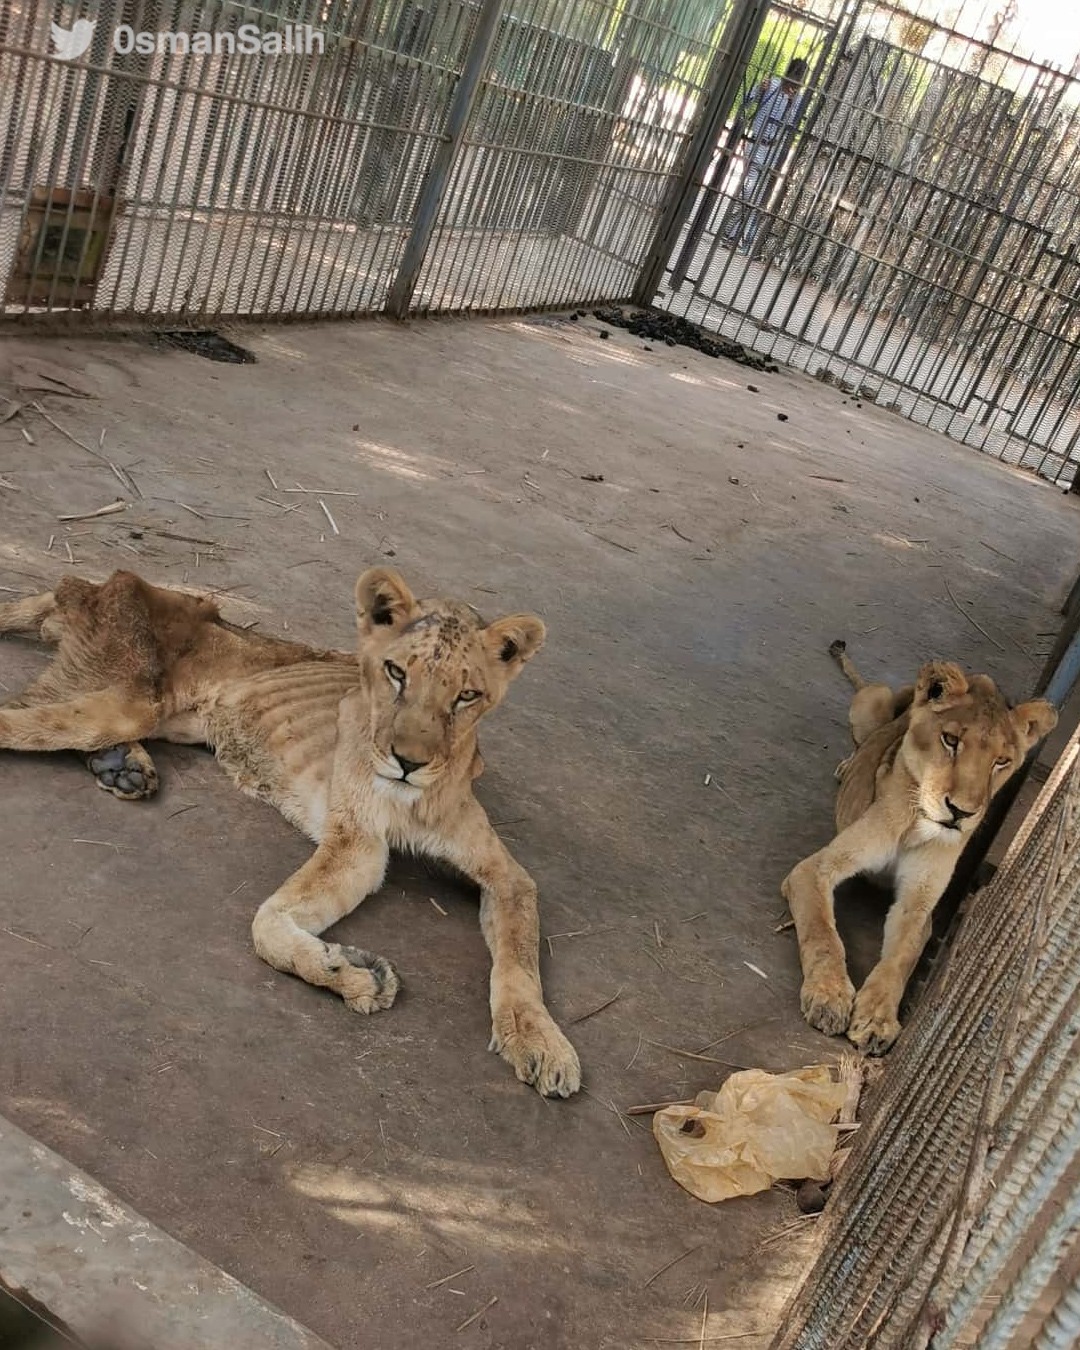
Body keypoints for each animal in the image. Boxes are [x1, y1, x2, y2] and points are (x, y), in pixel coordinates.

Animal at [0, 561, 583, 1096]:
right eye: (396, 673)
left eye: (466, 696)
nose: (408, 763)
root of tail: (97, 583)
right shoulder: (357, 844)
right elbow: (268, 923)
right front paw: (353, 974)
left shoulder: (506, 877)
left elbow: (519, 960)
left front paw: (540, 1042)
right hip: (127, 701)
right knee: (14, 715)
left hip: (152, 714)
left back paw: (122, 766)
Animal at [783, 637, 1058, 1058]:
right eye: (951, 740)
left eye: (1001, 761)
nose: (961, 813)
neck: (917, 824)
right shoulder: (813, 870)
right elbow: (822, 932)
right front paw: (829, 997)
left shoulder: (919, 904)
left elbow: (899, 959)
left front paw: (877, 1019)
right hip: (874, 700)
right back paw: (846, 765)